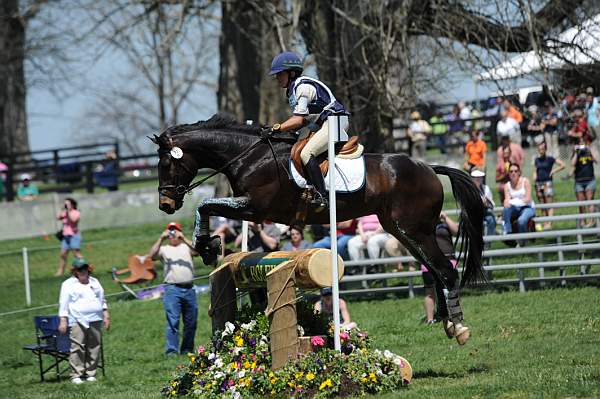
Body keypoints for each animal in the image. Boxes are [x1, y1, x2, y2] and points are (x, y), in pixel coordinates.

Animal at [152, 114, 486, 346]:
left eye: (166, 164)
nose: (165, 204)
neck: (249, 156)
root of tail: (429, 168)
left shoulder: (256, 208)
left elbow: (205, 205)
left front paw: (207, 245)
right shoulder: (250, 209)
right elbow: (207, 206)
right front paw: (210, 246)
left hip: (415, 230)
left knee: (445, 271)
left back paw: (459, 326)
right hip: (402, 230)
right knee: (436, 269)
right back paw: (447, 323)